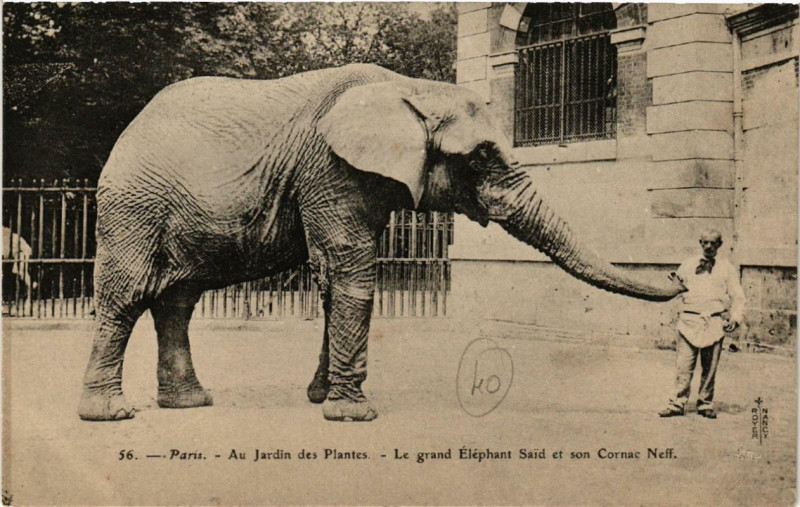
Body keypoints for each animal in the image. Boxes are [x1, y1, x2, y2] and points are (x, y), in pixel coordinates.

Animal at [78, 63, 685, 422]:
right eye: (481, 156)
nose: (681, 275)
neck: (409, 89)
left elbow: (336, 281)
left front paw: (323, 400)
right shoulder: (329, 169)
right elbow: (352, 273)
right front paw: (353, 416)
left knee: (177, 302)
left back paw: (189, 404)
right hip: (133, 205)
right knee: (126, 295)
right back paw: (110, 413)